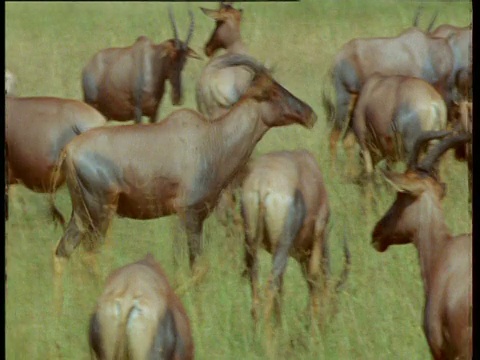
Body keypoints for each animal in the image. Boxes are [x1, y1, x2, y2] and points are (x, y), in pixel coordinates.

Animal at [52, 54, 316, 276]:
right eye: (270, 90)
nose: (310, 114)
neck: (212, 138)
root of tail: (69, 150)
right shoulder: (189, 214)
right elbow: (195, 268)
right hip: (100, 212)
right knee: (89, 256)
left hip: (81, 214)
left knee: (62, 253)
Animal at [242, 150, 350, 324]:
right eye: (334, 302)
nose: (326, 324)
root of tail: (263, 184)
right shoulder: (319, 231)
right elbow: (313, 277)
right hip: (282, 246)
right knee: (270, 287)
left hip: (251, 244)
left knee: (257, 290)